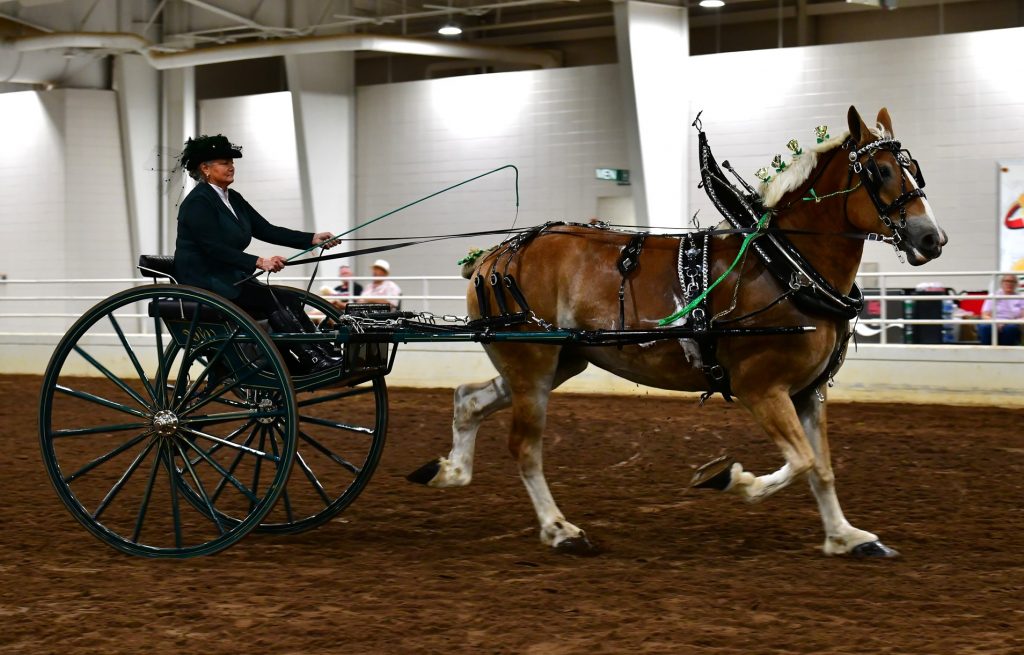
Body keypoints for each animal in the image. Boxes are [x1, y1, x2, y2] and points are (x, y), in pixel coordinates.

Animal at [411, 104, 946, 556]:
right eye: (879, 172)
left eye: (915, 170)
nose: (932, 239)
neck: (786, 264)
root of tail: (494, 254)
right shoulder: (761, 388)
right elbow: (802, 462)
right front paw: (732, 479)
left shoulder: (808, 392)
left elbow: (824, 469)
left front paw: (845, 537)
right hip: (533, 363)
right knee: (524, 447)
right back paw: (560, 529)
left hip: (558, 361)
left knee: (468, 399)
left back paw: (448, 471)